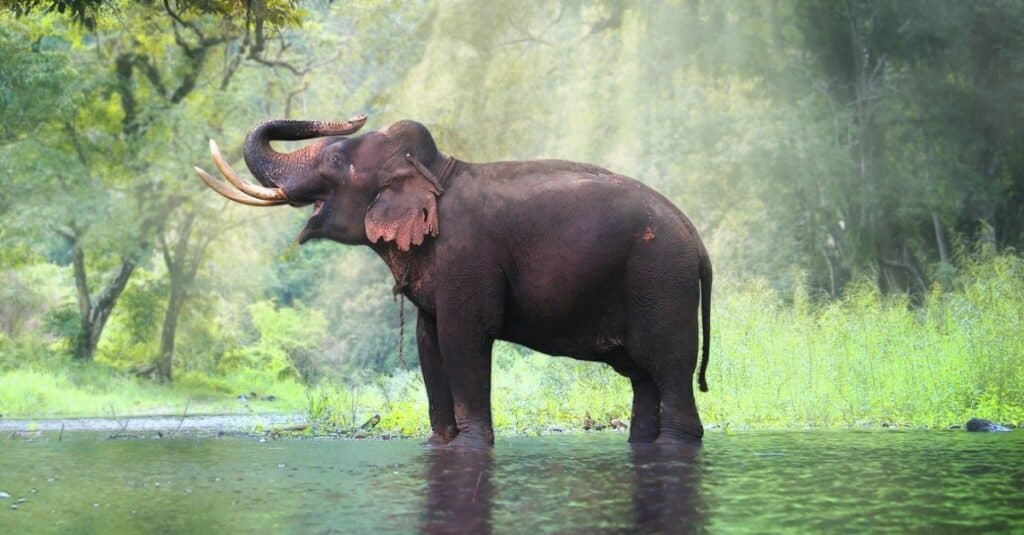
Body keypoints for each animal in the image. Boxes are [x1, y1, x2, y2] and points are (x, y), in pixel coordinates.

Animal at [197, 115, 712, 444]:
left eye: (339, 160)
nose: (353, 116)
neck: (436, 169)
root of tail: (699, 244)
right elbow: (429, 343)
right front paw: (441, 443)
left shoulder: (468, 258)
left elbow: (465, 337)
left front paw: (471, 444)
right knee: (643, 379)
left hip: (662, 282)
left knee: (669, 371)